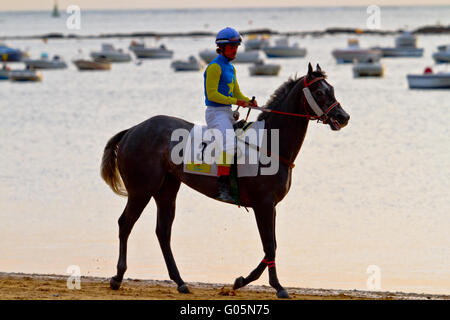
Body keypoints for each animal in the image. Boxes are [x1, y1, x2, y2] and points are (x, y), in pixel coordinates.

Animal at [100, 63, 350, 300]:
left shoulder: (270, 206)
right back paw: (117, 277)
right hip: (141, 189)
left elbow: (271, 246)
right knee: (125, 223)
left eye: (332, 89)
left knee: (163, 231)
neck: (270, 142)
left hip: (166, 189)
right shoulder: (263, 204)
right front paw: (278, 286)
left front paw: (241, 281)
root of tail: (132, 130)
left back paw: (180, 281)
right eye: (319, 92)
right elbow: (270, 245)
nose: (343, 117)